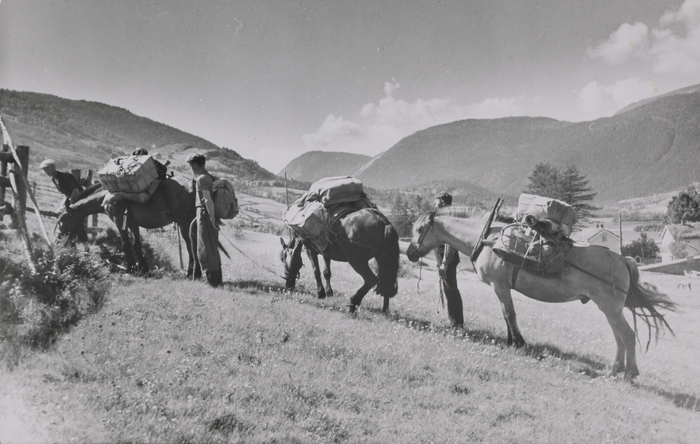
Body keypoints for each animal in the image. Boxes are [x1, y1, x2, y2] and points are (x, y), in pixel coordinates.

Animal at [55, 178, 198, 278]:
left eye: (62, 220)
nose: (58, 241)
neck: (107, 196)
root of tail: (193, 185)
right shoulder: (132, 224)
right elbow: (137, 245)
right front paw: (143, 269)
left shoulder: (119, 221)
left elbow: (126, 244)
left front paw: (131, 268)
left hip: (184, 223)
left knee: (191, 245)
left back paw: (192, 273)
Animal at [404, 206, 680, 380]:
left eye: (418, 230)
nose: (409, 253)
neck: (488, 240)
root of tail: (623, 259)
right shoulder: (501, 287)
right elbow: (506, 315)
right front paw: (511, 341)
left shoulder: (500, 285)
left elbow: (510, 314)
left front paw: (519, 343)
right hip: (609, 309)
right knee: (620, 337)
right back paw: (614, 370)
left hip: (610, 308)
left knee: (627, 336)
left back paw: (629, 373)